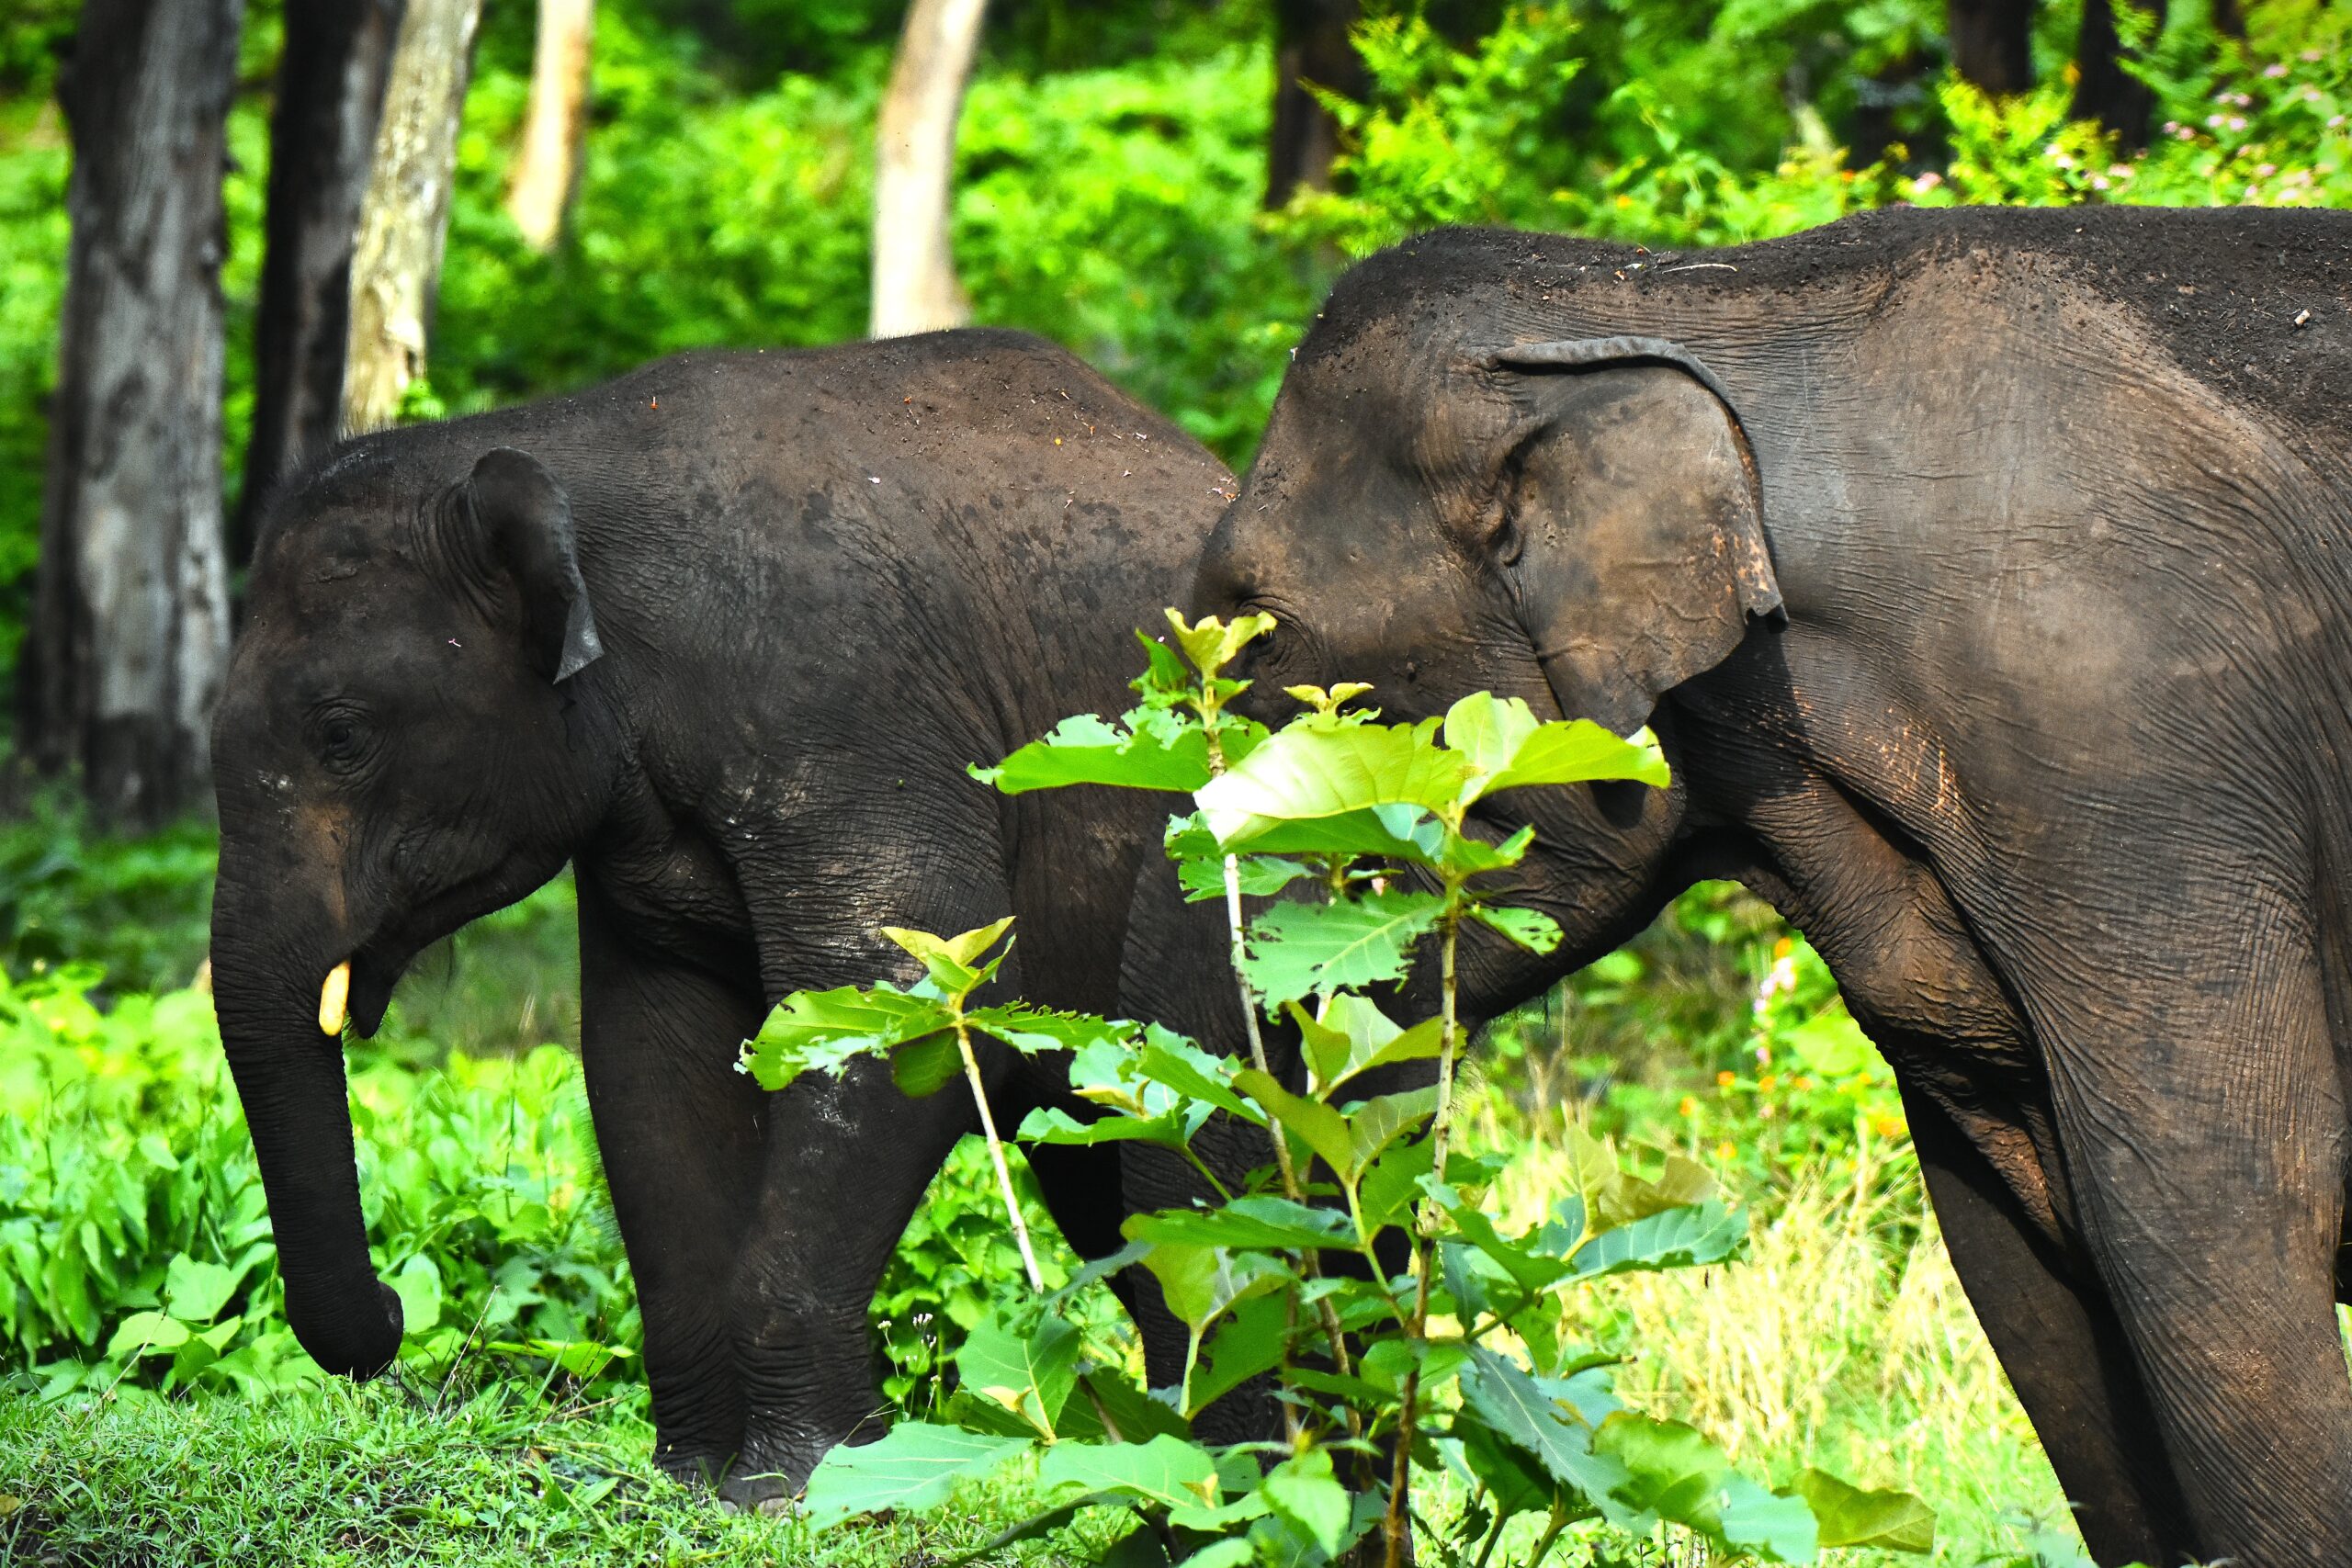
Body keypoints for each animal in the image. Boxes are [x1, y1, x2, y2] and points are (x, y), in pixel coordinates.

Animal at [208, 328, 1235, 1504]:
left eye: (342, 736)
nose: (390, 1314)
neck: (558, 448)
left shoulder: (844, 709)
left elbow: (898, 999)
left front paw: (799, 1486)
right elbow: (651, 1057)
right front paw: (695, 1479)